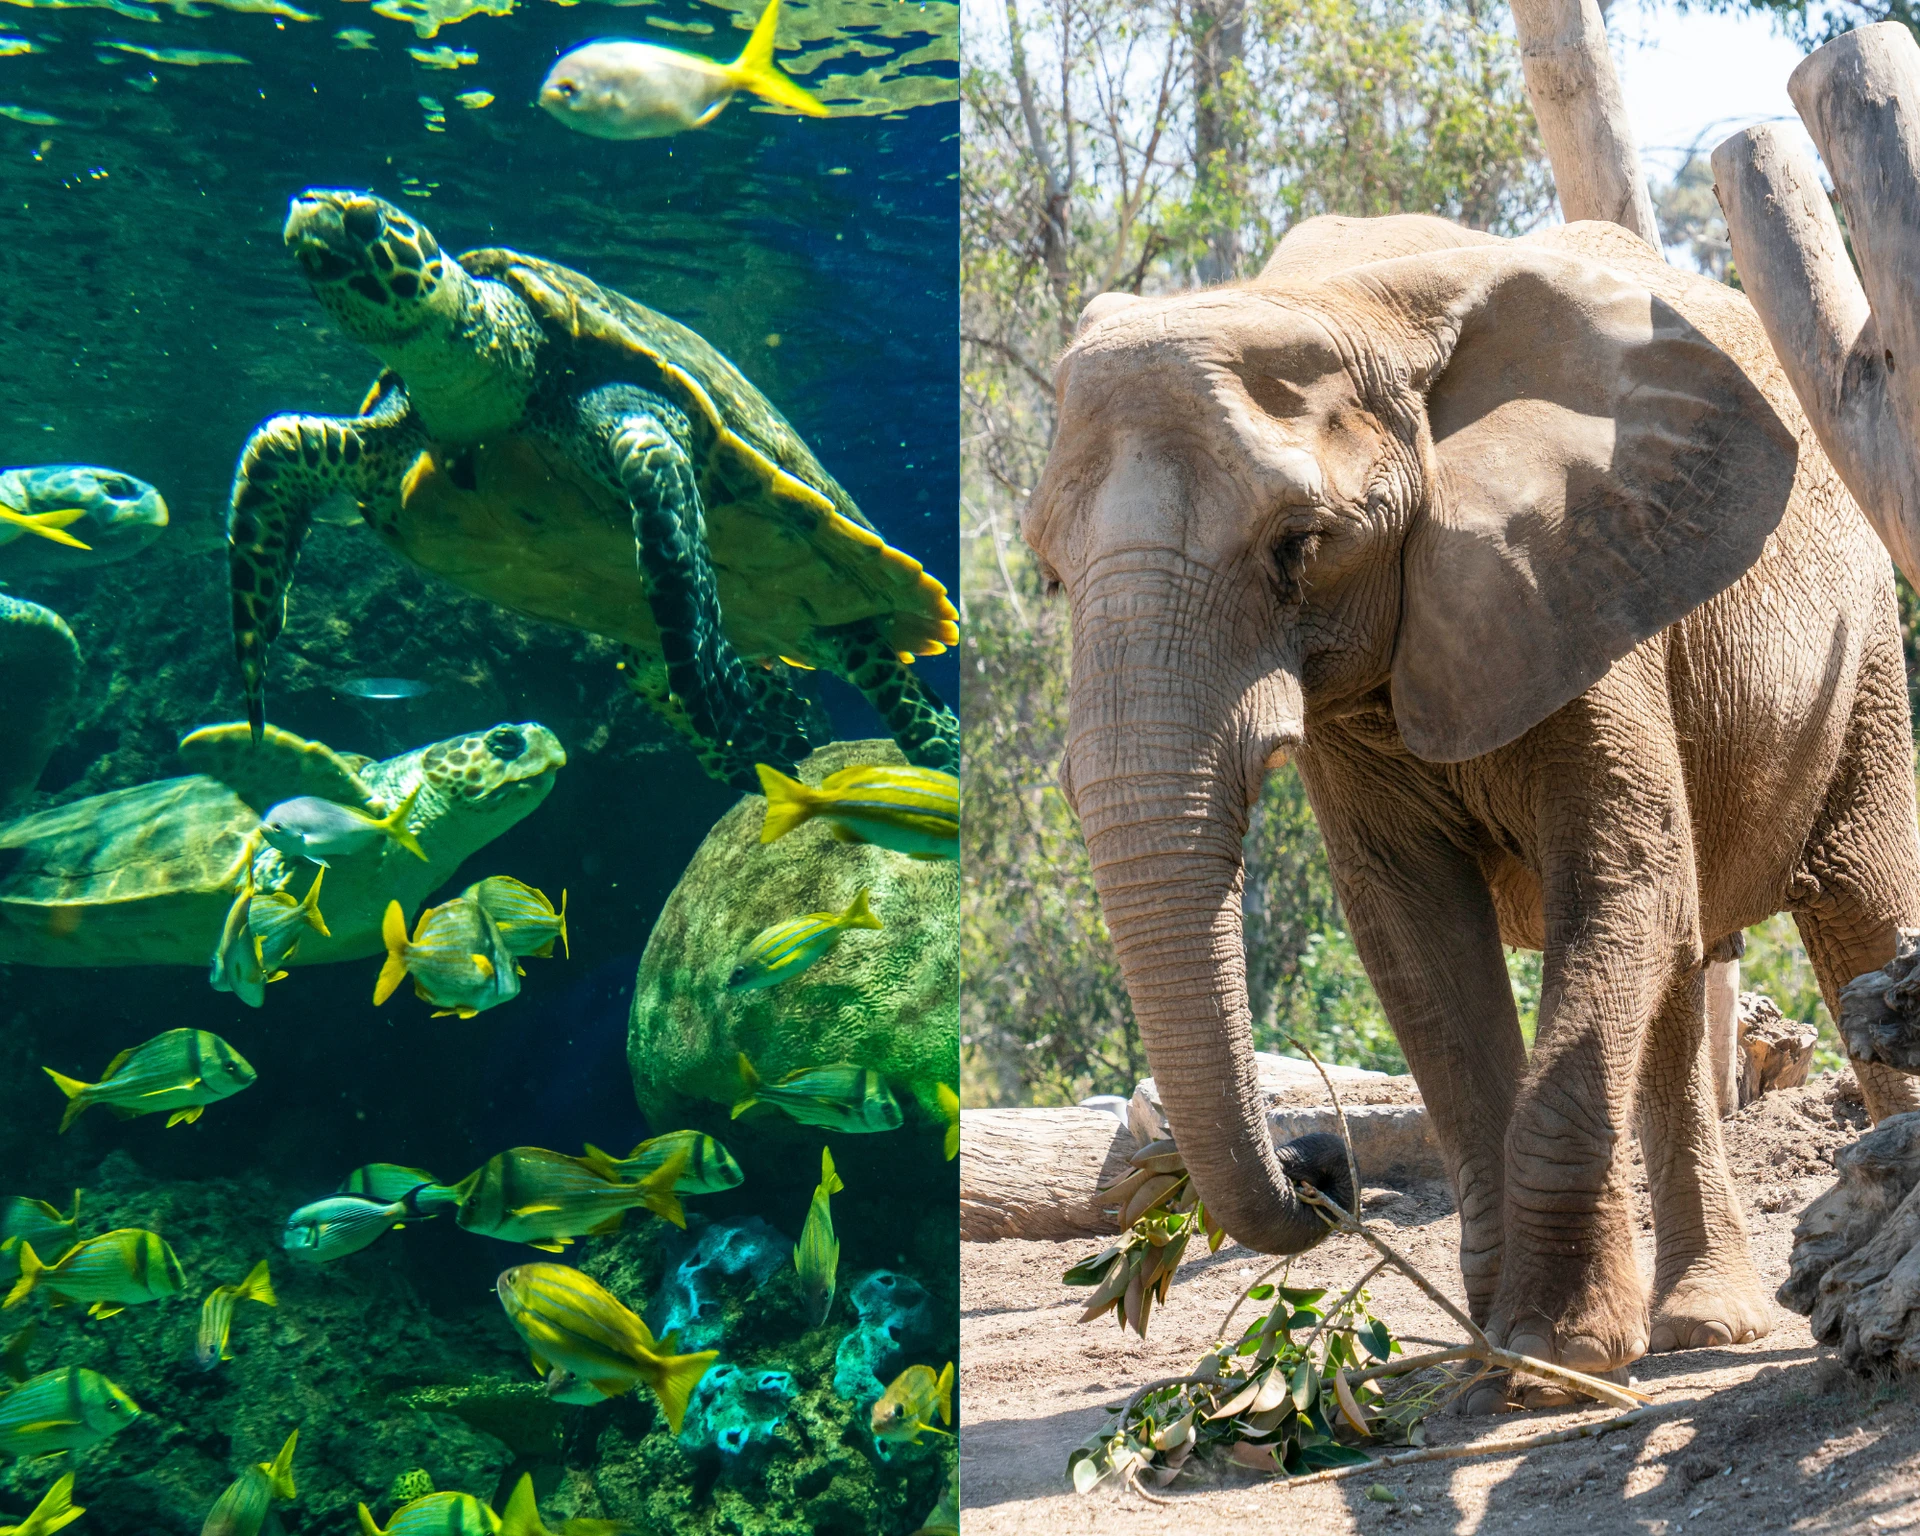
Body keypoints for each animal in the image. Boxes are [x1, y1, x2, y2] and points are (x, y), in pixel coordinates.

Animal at [1023, 211, 1920, 1406]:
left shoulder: (1581, 572)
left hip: (1860, 645)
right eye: (1050, 575)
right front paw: (1502, 1358)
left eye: (1298, 546)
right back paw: (1698, 1327)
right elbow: (1416, 937)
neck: (1344, 309)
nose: (1321, 1165)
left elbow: (1622, 876)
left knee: (1858, 915)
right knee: (1680, 980)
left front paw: (1555, 1354)